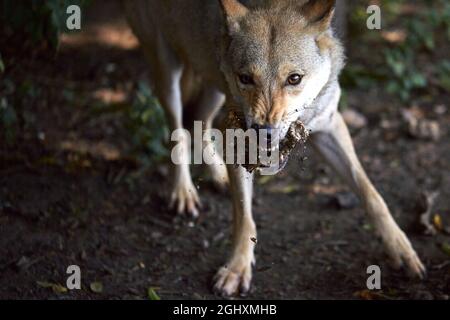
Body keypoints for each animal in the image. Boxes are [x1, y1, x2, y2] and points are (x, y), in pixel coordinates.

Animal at [123, 0, 426, 296]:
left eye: (294, 79)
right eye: (246, 78)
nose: (263, 133)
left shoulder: (330, 126)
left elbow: (371, 194)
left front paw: (401, 249)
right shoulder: (238, 141)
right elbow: (244, 218)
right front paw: (237, 269)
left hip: (212, 83)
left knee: (199, 121)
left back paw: (218, 177)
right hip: (167, 72)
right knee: (177, 131)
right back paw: (183, 193)